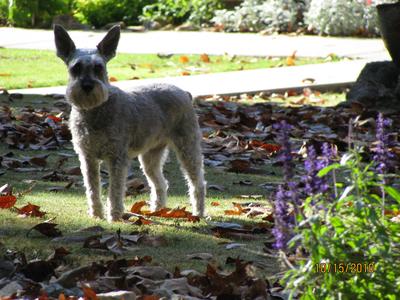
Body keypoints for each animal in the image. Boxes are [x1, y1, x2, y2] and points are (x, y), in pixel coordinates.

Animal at [53, 24, 206, 221]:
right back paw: (157, 210)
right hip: (150, 157)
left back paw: (198, 213)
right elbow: (93, 190)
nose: (87, 86)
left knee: (197, 182)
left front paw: (115, 216)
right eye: (76, 67)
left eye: (99, 67)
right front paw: (96, 215)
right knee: (160, 183)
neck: (95, 111)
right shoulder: (88, 158)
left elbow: (115, 190)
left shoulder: (117, 158)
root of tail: (185, 93)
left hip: (188, 148)